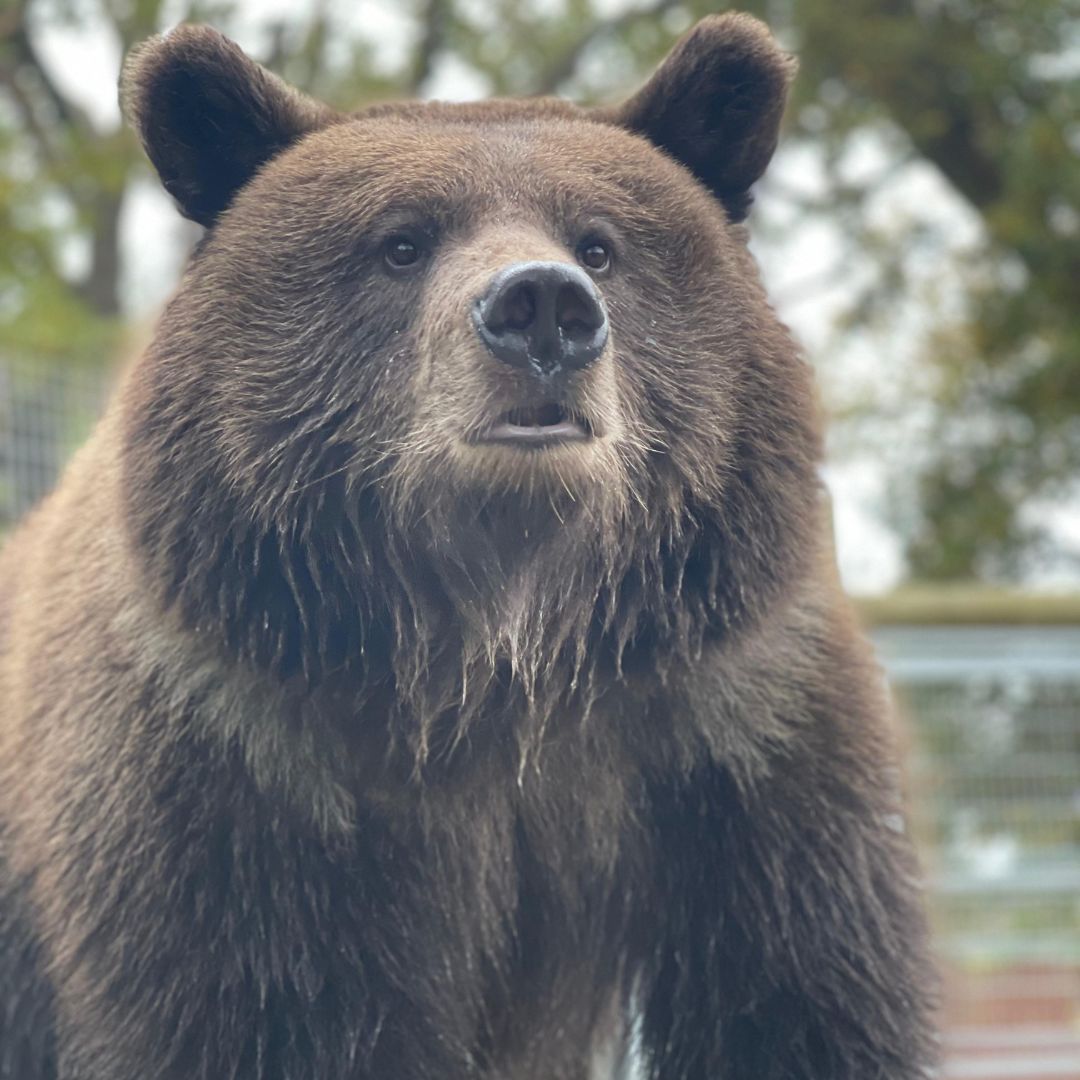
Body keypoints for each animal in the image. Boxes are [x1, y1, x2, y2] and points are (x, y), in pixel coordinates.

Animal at [0, 13, 937, 1079]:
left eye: (600, 245)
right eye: (401, 242)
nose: (542, 309)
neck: (497, 658)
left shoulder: (737, 740)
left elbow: (798, 1003)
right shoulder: (231, 768)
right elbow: (234, 1011)